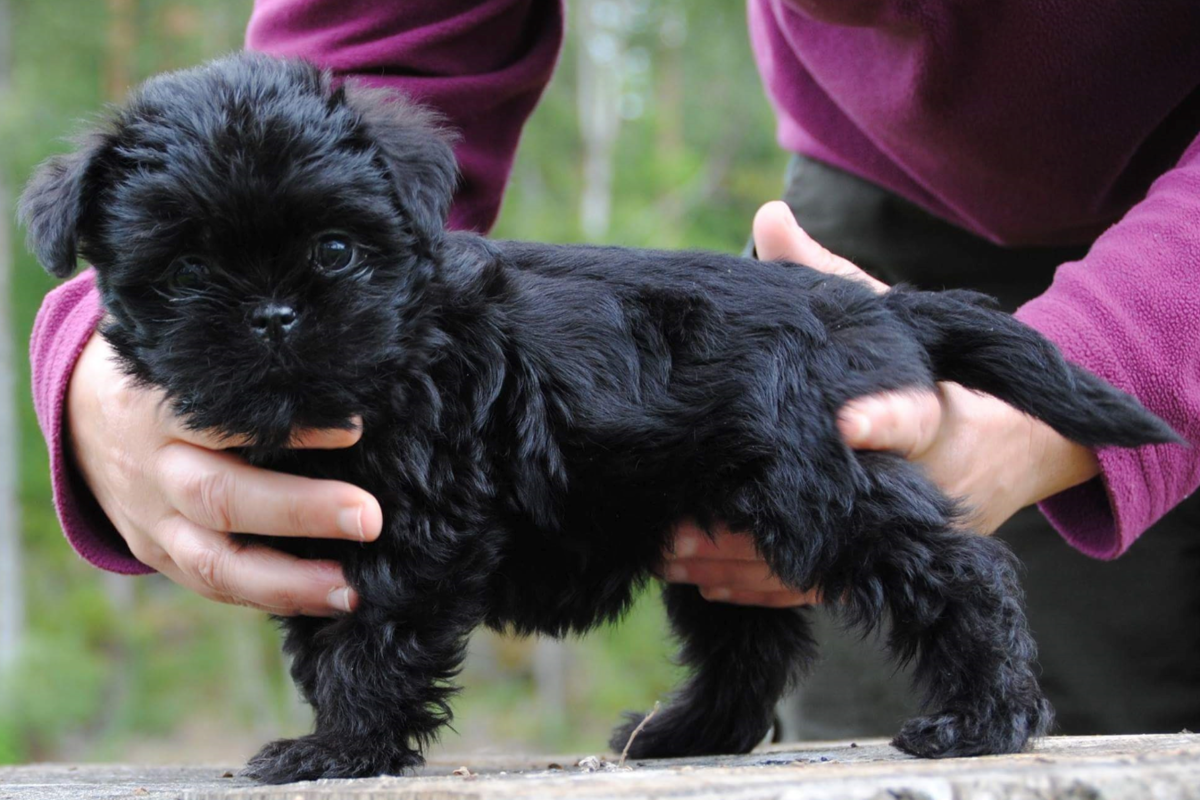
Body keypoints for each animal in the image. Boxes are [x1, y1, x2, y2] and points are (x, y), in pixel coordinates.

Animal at [18, 54, 1180, 782]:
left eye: (335, 250)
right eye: (188, 272)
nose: (272, 313)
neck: (399, 343)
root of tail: (871, 302)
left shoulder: (419, 524)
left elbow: (372, 637)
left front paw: (337, 748)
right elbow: (325, 633)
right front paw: (337, 734)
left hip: (815, 488)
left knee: (959, 573)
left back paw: (983, 716)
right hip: (720, 521)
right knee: (752, 641)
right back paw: (686, 732)